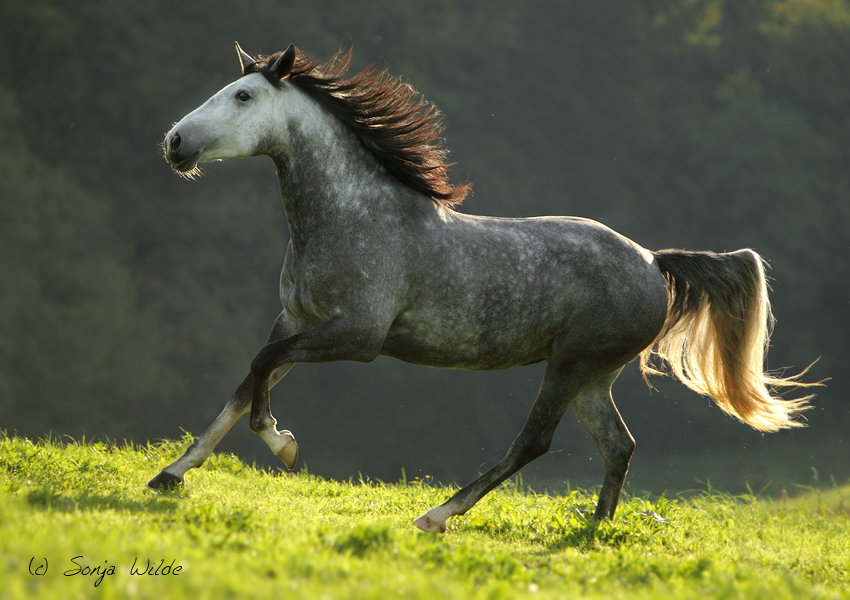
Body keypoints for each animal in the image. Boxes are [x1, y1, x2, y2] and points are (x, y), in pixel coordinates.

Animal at [149, 42, 816, 533]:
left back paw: (436, 515)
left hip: (570, 365)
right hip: (593, 376)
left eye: (243, 95)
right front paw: (170, 475)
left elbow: (260, 372)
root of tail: (653, 261)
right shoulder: (297, 321)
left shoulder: (357, 336)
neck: (350, 215)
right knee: (617, 446)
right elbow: (243, 385)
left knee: (534, 443)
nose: (174, 142)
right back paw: (595, 530)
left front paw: (280, 443)